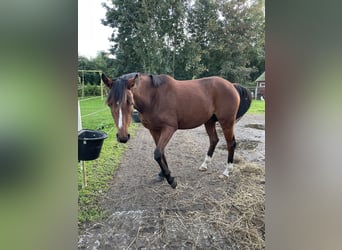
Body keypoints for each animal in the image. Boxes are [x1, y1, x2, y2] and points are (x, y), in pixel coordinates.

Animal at [101, 73, 251, 188]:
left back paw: (226, 172)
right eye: (109, 103)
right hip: (209, 121)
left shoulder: (169, 128)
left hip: (227, 122)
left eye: (130, 102)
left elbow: (157, 153)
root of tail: (231, 85)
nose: (122, 137)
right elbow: (161, 153)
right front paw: (163, 174)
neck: (154, 97)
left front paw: (171, 180)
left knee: (231, 144)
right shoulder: (154, 130)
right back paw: (204, 165)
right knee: (214, 140)